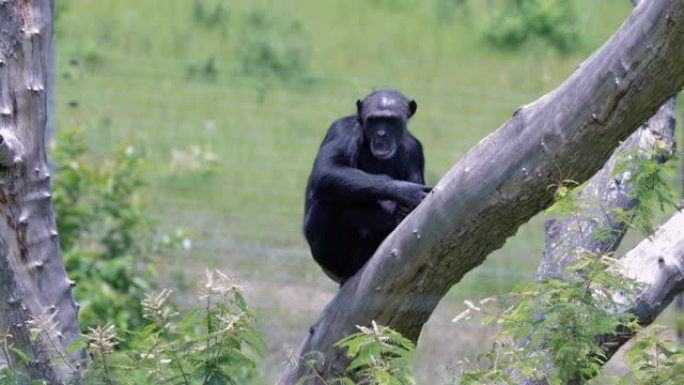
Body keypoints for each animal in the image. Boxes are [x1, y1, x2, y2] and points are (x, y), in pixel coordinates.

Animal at [304, 88, 430, 284]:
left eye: (391, 121)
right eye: (374, 120)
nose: (382, 134)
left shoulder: (414, 149)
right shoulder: (343, 130)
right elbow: (328, 169)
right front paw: (405, 191)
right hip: (327, 257)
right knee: (328, 199)